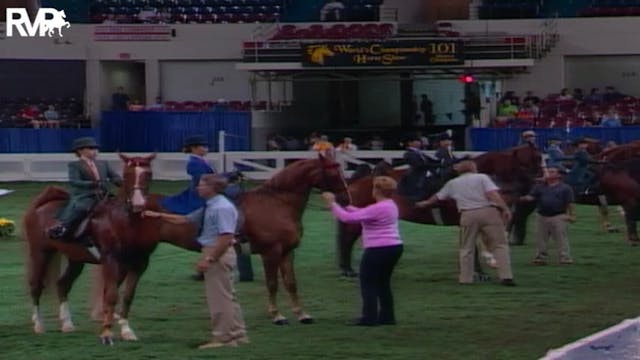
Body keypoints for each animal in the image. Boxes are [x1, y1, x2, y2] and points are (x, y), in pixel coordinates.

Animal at [23, 153, 198, 344]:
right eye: (128, 174)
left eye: (148, 174)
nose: (138, 204)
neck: (125, 222)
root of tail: (41, 205)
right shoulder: (111, 261)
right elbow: (111, 295)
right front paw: (106, 334)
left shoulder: (138, 264)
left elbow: (126, 296)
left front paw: (127, 331)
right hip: (40, 253)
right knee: (36, 286)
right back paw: (38, 325)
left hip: (75, 259)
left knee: (63, 285)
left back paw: (67, 324)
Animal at [338, 143, 544, 276]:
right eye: (535, 158)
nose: (540, 179)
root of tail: (355, 182)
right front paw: (477, 272)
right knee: (347, 241)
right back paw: (347, 270)